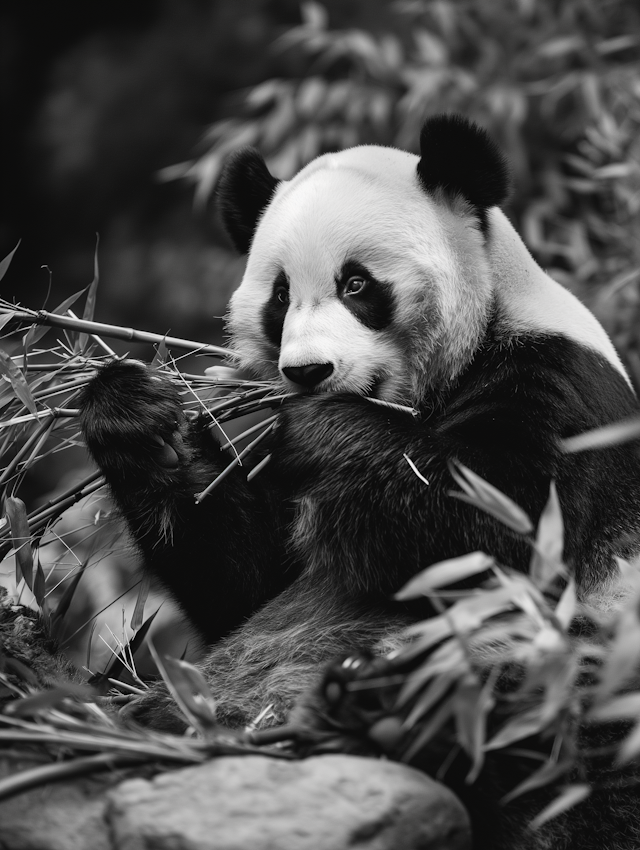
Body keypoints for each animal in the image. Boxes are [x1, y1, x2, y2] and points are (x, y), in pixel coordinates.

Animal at [82, 112, 640, 840]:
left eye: (357, 284)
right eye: (280, 296)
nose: (307, 373)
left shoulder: (565, 390)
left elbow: (495, 526)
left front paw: (309, 421)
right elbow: (246, 581)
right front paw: (139, 416)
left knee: (543, 713)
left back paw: (387, 708)